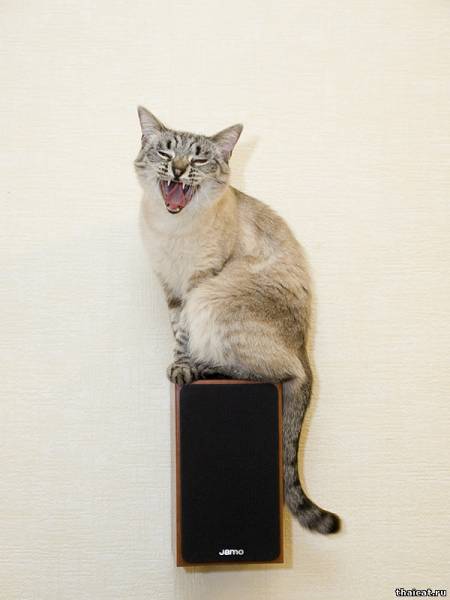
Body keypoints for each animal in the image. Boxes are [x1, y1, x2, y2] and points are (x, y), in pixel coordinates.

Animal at [135, 106, 341, 535]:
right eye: (166, 153)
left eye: (198, 160)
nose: (178, 170)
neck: (171, 227)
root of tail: (305, 347)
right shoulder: (172, 288)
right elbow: (176, 332)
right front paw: (179, 364)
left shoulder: (198, 282)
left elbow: (184, 336)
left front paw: (184, 369)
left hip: (214, 299)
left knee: (281, 373)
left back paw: (204, 368)